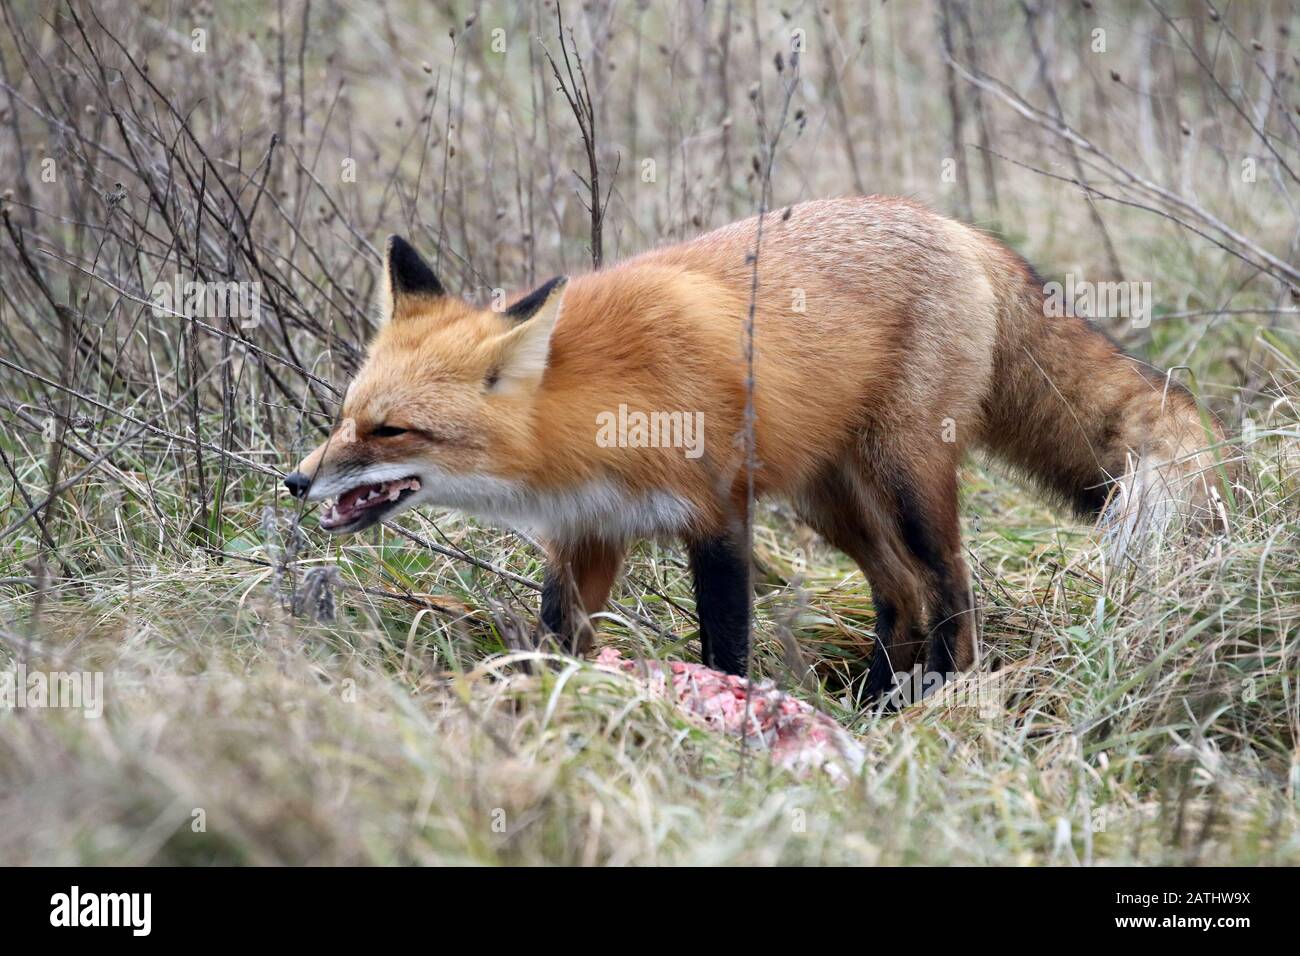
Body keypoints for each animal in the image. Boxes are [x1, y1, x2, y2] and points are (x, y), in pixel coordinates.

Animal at [287, 197, 1227, 697]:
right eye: (345, 415)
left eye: (390, 430)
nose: (296, 483)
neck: (586, 415)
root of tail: (958, 227)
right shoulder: (590, 534)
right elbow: (559, 635)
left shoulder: (717, 515)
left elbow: (725, 643)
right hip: (830, 499)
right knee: (901, 595)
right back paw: (876, 705)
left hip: (906, 478)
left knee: (951, 584)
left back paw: (938, 699)